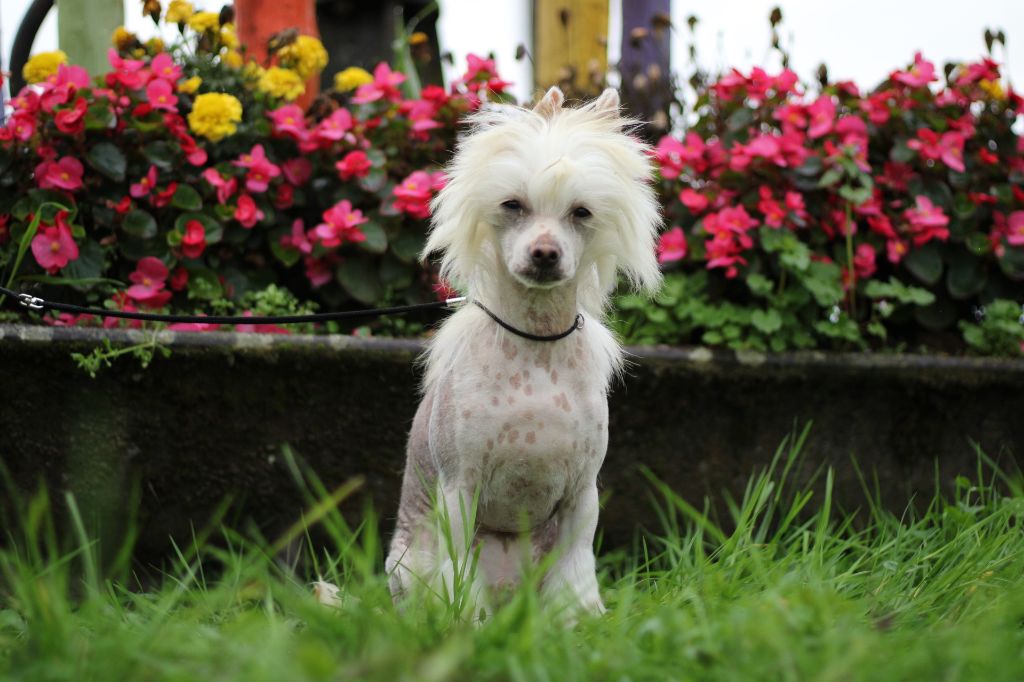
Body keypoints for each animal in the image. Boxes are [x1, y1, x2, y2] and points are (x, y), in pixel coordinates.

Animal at [385, 86, 663, 614]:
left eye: (581, 212)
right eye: (513, 205)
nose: (545, 253)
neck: (537, 347)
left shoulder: (581, 495)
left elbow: (577, 570)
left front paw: (581, 620)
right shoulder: (460, 489)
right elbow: (458, 573)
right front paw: (461, 621)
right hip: (409, 563)